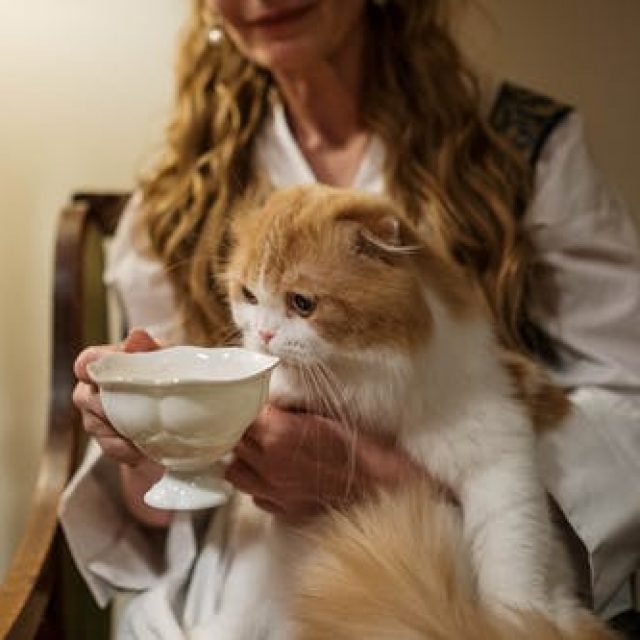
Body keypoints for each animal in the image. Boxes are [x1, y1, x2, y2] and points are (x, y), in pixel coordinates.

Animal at [218, 184, 615, 639]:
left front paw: (512, 622)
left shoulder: (499, 465)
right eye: (249, 295)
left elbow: (512, 569)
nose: (264, 334)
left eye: (302, 303)